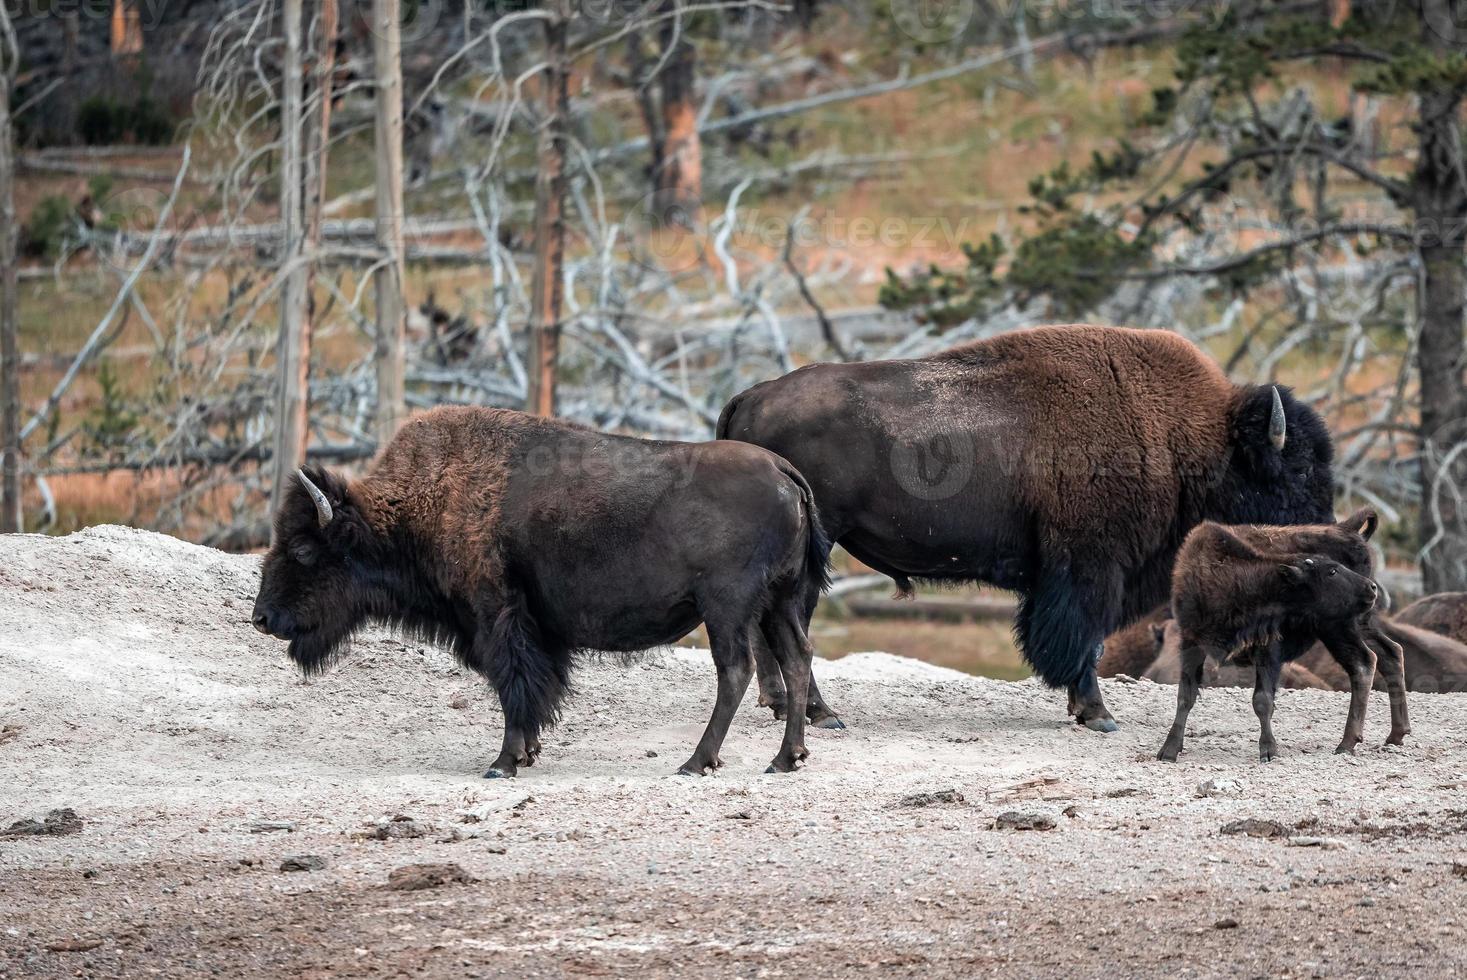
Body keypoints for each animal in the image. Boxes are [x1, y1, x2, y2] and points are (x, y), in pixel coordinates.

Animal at [246, 407, 833, 780]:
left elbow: (514, 683)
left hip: (727, 608)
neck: (428, 501)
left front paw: (503, 763)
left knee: (736, 670)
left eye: (303, 550)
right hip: (778, 602)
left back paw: (695, 763)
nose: (262, 618)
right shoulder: (533, 628)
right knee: (797, 657)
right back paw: (786, 758)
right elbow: (530, 686)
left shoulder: (497, 616)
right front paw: (527, 753)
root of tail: (783, 469)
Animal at [715, 325, 1337, 730]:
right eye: (1298, 468)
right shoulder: (1090, 567)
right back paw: (822, 714)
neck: (1185, 437)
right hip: (816, 547)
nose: (1326, 541)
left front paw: (1085, 710)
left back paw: (784, 705)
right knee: (792, 625)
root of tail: (750, 396)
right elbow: (1082, 638)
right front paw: (1098, 714)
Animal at [1155, 519, 1384, 762]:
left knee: (1365, 663)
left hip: (1340, 627)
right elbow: (1185, 696)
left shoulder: (1268, 649)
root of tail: (1352, 531)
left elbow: (1262, 700)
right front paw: (1169, 749)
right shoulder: (1191, 642)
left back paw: (1348, 743)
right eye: (1332, 571)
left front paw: (1268, 749)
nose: (1371, 587)